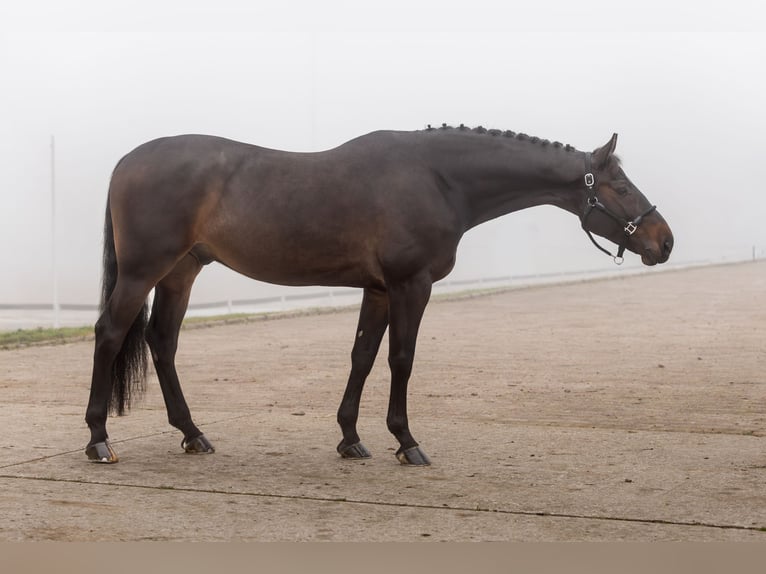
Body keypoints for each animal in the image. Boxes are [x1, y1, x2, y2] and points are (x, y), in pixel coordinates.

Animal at [85, 125, 673, 465]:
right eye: (621, 187)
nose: (663, 240)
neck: (438, 178)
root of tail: (126, 161)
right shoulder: (411, 285)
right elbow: (401, 359)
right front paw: (406, 441)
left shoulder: (378, 290)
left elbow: (363, 357)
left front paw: (350, 438)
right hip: (143, 271)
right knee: (110, 333)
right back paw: (98, 439)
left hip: (181, 272)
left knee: (162, 342)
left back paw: (192, 433)